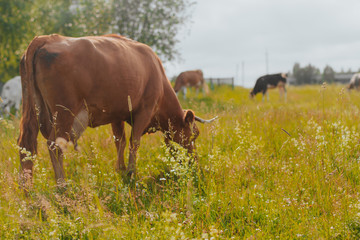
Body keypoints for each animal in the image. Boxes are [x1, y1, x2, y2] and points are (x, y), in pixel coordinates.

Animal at [17, 34, 217, 186]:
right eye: (194, 135)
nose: (195, 164)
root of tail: (46, 38)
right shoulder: (145, 110)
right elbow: (134, 142)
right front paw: (131, 172)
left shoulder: (116, 115)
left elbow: (119, 141)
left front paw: (120, 170)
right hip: (65, 115)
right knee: (55, 146)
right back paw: (62, 186)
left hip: (34, 112)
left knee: (25, 145)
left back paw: (27, 189)